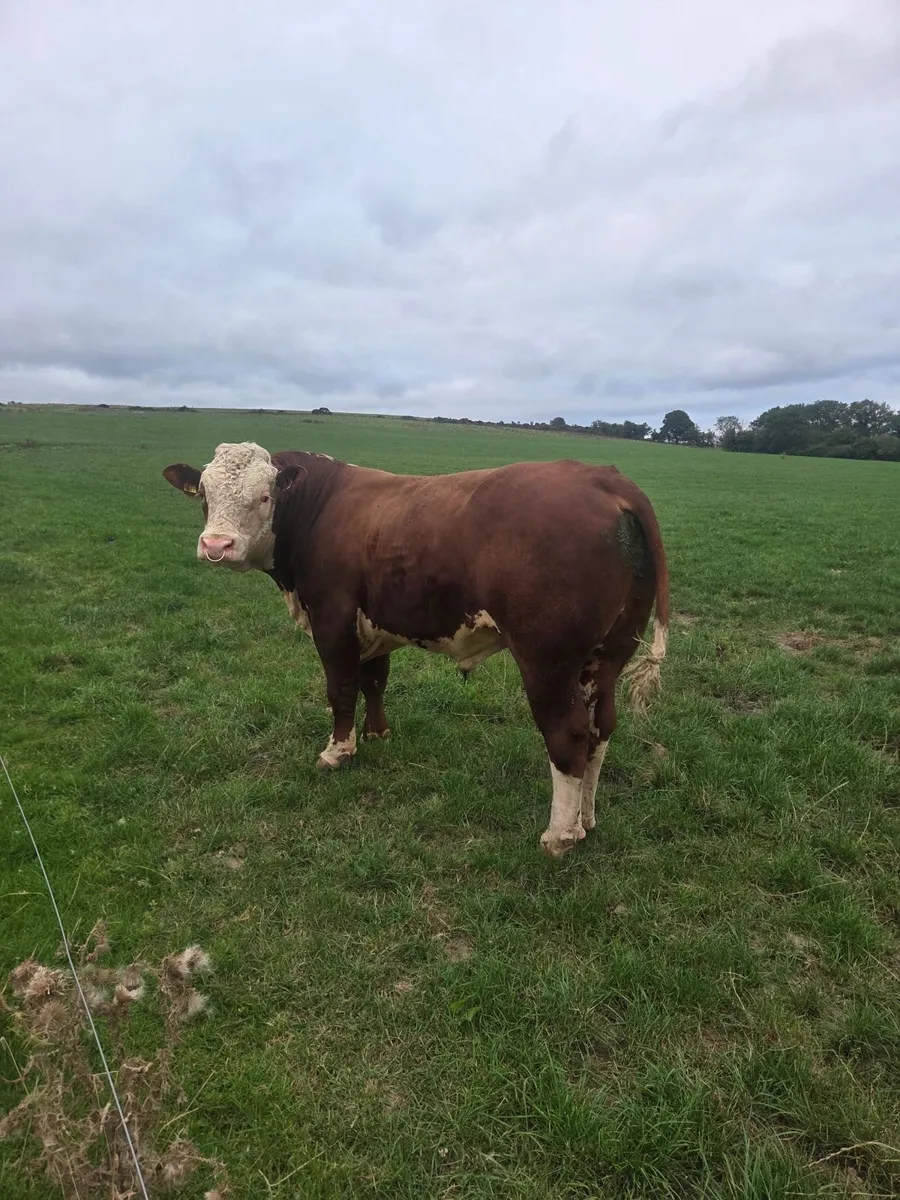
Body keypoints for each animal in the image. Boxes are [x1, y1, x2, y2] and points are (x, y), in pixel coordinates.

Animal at [163, 442, 669, 857]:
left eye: (265, 497)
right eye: (204, 494)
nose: (216, 545)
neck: (321, 508)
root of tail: (603, 477)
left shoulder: (331, 619)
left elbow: (341, 688)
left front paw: (338, 751)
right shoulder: (373, 624)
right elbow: (374, 681)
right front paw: (377, 733)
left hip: (547, 661)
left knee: (568, 734)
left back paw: (560, 836)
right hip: (607, 655)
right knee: (601, 728)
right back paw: (586, 819)